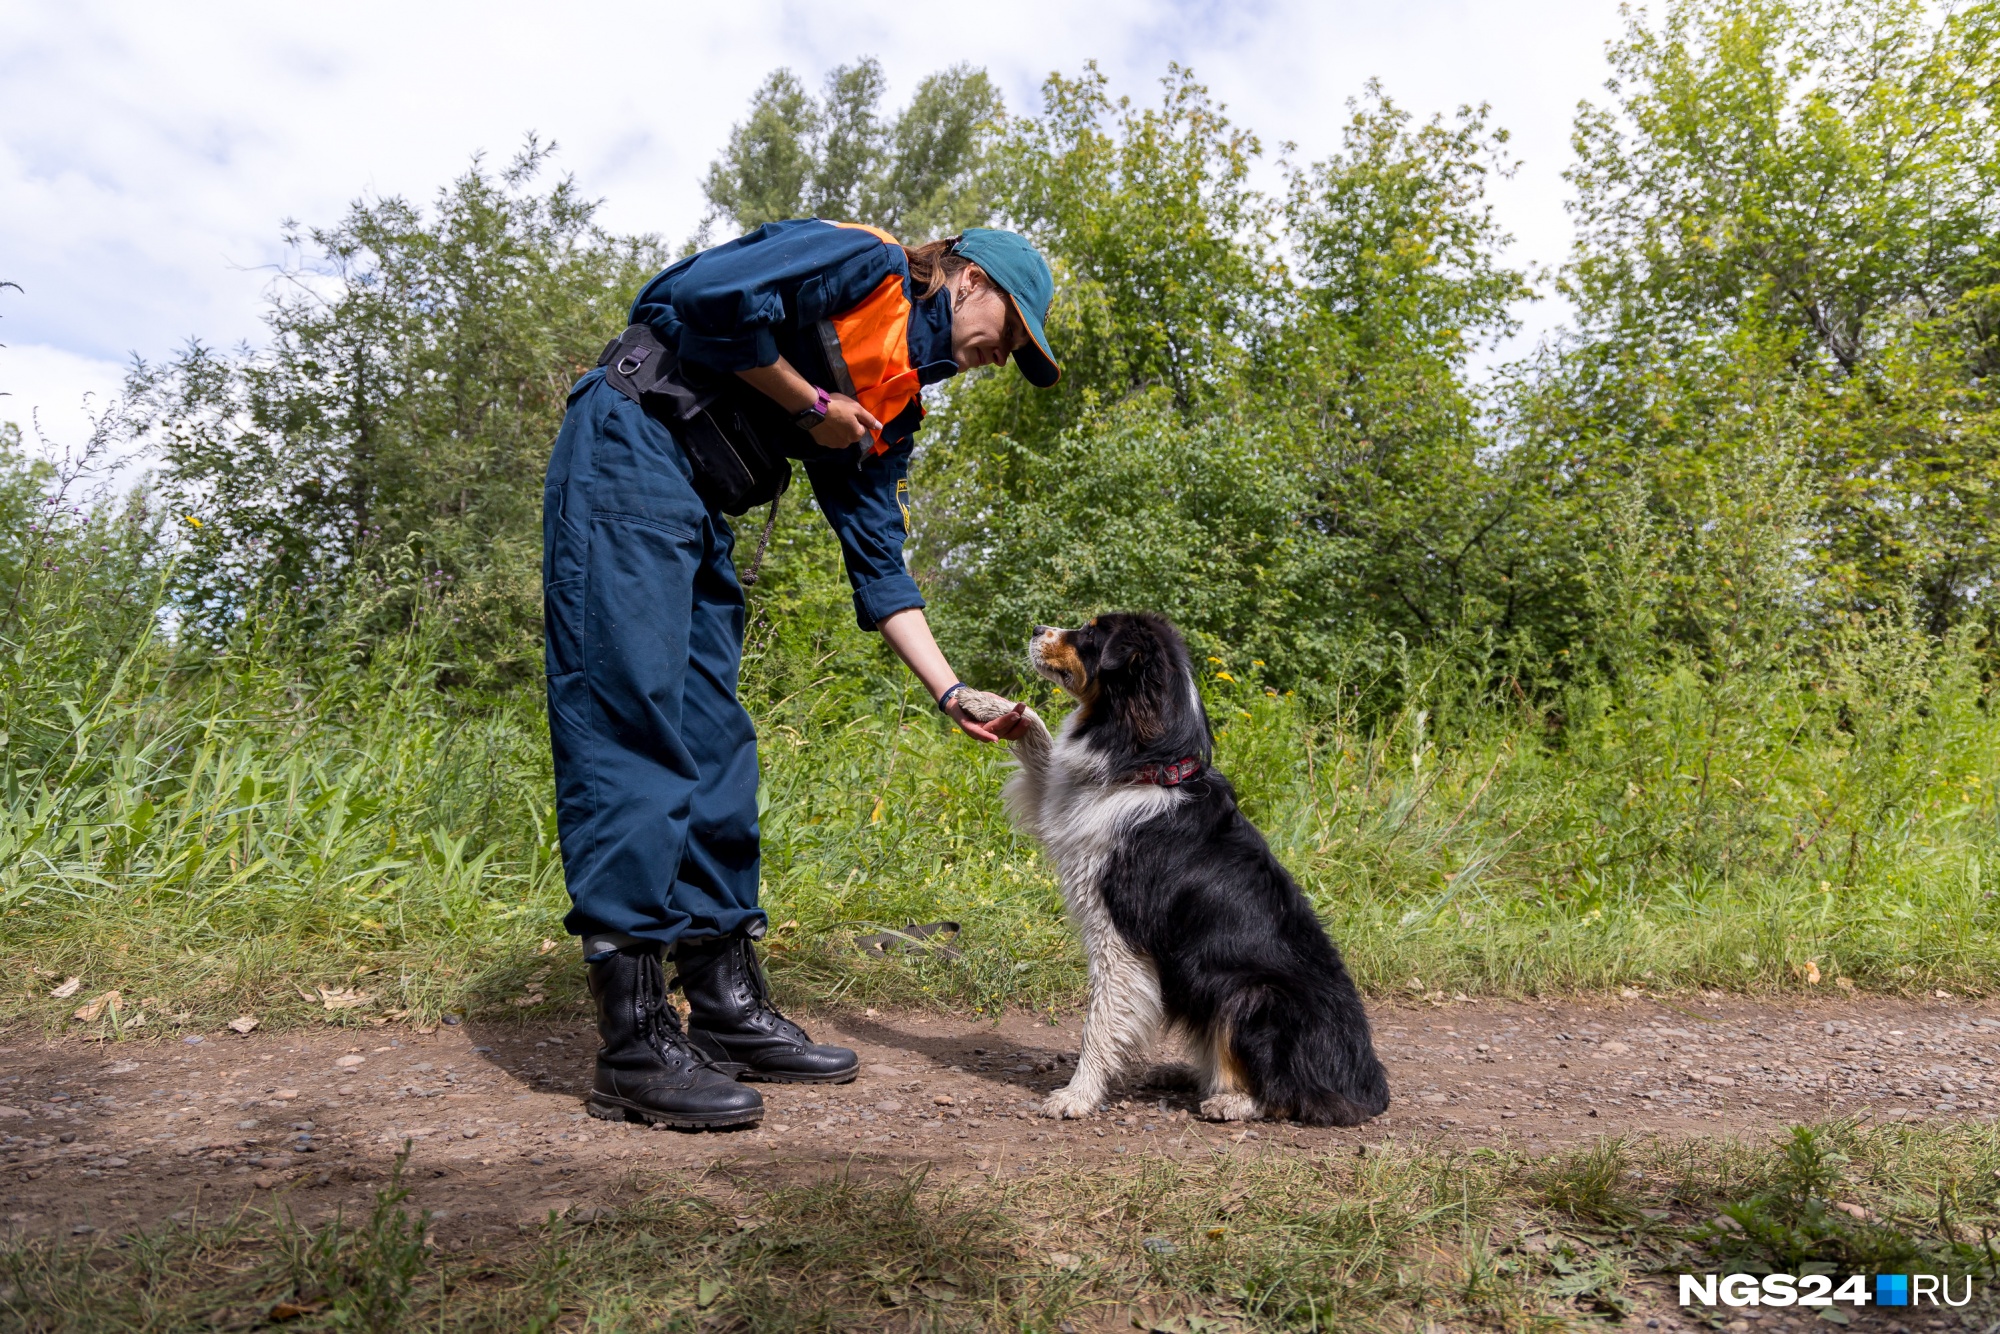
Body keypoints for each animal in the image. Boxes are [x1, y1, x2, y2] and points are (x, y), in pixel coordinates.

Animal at [952, 620, 1392, 1128]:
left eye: (1089, 634)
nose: (1038, 627)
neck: (1148, 767)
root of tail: (1371, 1087)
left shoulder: (1119, 931)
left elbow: (1099, 1021)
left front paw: (1077, 1095)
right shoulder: (1064, 798)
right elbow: (1040, 739)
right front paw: (986, 703)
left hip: (1254, 994)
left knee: (1292, 1092)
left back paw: (1232, 1101)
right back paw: (1184, 1074)